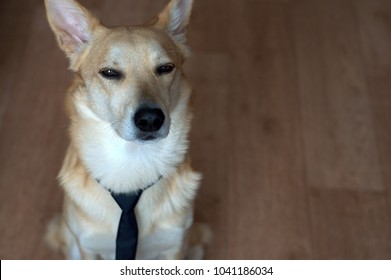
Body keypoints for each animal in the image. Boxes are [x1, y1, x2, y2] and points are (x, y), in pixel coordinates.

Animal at [44, 0, 210, 260]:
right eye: (110, 73)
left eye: (166, 68)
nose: (151, 119)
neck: (132, 163)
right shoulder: (88, 248)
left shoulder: (174, 246)